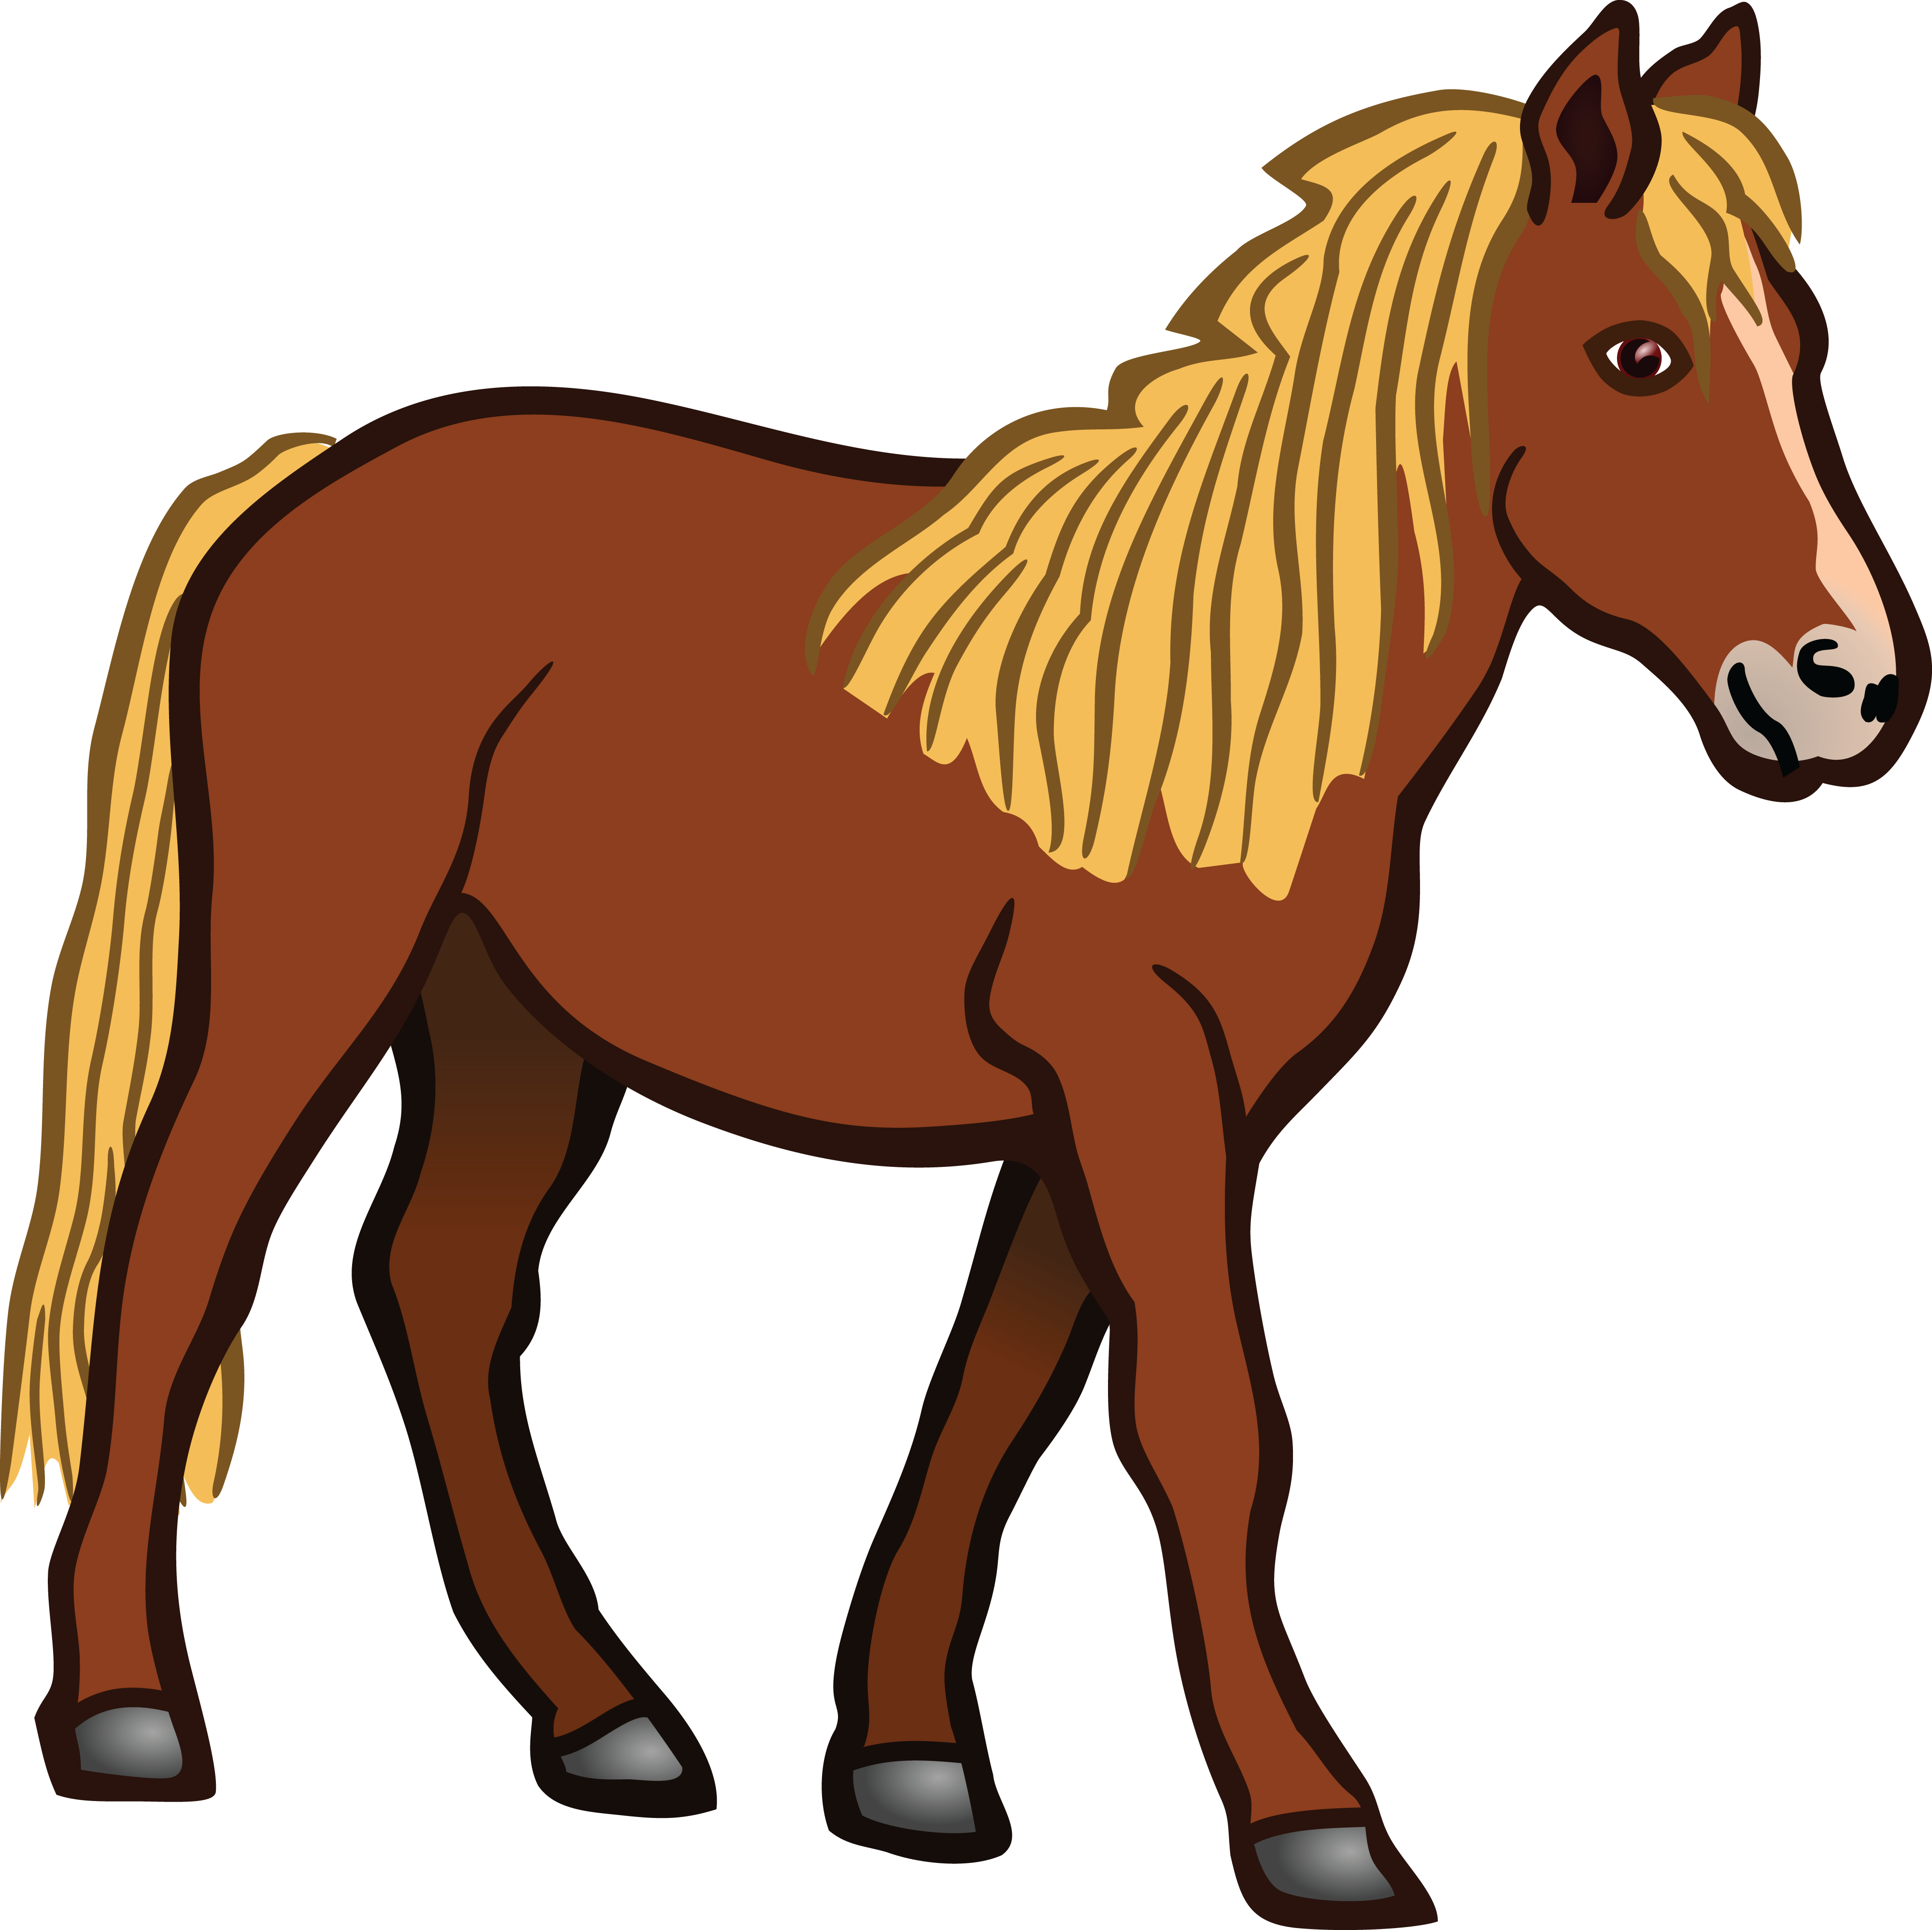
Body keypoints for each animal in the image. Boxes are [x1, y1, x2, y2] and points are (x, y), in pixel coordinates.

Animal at [3, 5, 1920, 1923]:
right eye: (1636, 354)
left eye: (1796, 343)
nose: (1844, 685)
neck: (1214, 698)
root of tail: (311, 478)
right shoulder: (1133, 1071)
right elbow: (1206, 1424)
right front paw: (1309, 1823)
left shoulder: (1123, 1101)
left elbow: (1002, 1400)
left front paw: (911, 1761)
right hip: (315, 961)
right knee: (178, 1251)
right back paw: (126, 1713)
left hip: (502, 1013)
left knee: (442, 1284)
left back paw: (603, 1719)